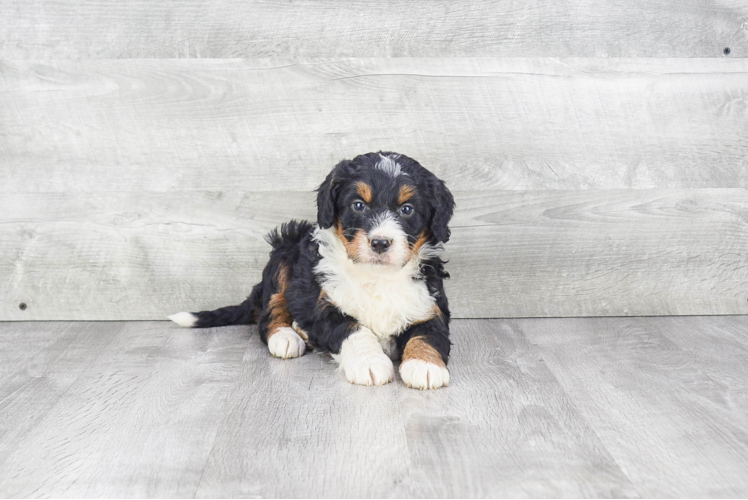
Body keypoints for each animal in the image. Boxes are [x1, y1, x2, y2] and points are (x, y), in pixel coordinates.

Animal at [169, 152, 456, 390]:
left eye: (407, 209)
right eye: (358, 205)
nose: (380, 242)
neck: (376, 276)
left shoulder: (429, 305)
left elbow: (428, 334)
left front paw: (425, 366)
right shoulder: (323, 306)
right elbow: (353, 329)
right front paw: (369, 362)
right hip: (284, 251)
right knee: (270, 311)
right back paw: (286, 336)